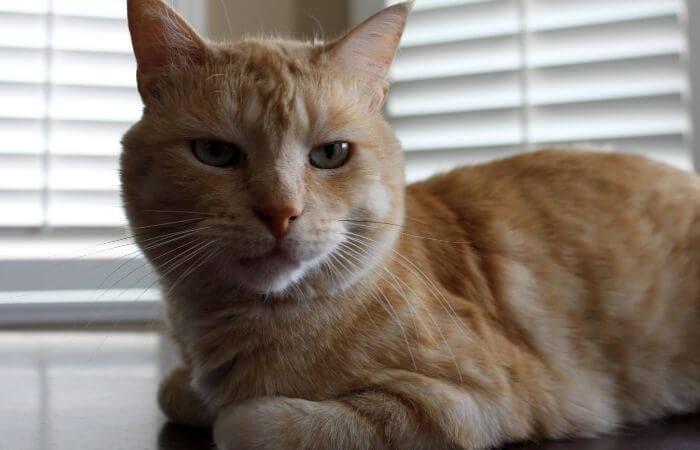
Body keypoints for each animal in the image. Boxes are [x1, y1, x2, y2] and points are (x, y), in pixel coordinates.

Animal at [120, 0, 700, 450]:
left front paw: (234, 409)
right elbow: (172, 390)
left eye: (331, 154)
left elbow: (254, 424)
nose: (280, 211)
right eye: (214, 153)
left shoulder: (469, 400)